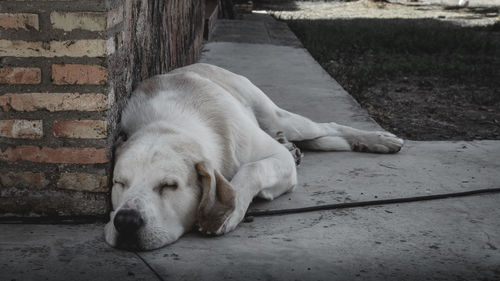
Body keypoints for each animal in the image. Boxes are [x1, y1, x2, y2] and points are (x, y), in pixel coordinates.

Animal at [103, 62, 404, 248]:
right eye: (119, 183)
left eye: (169, 186)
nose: (126, 221)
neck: (168, 123)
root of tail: (197, 66)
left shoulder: (275, 160)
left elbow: (252, 169)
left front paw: (230, 212)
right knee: (319, 140)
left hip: (277, 117)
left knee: (326, 128)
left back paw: (378, 140)